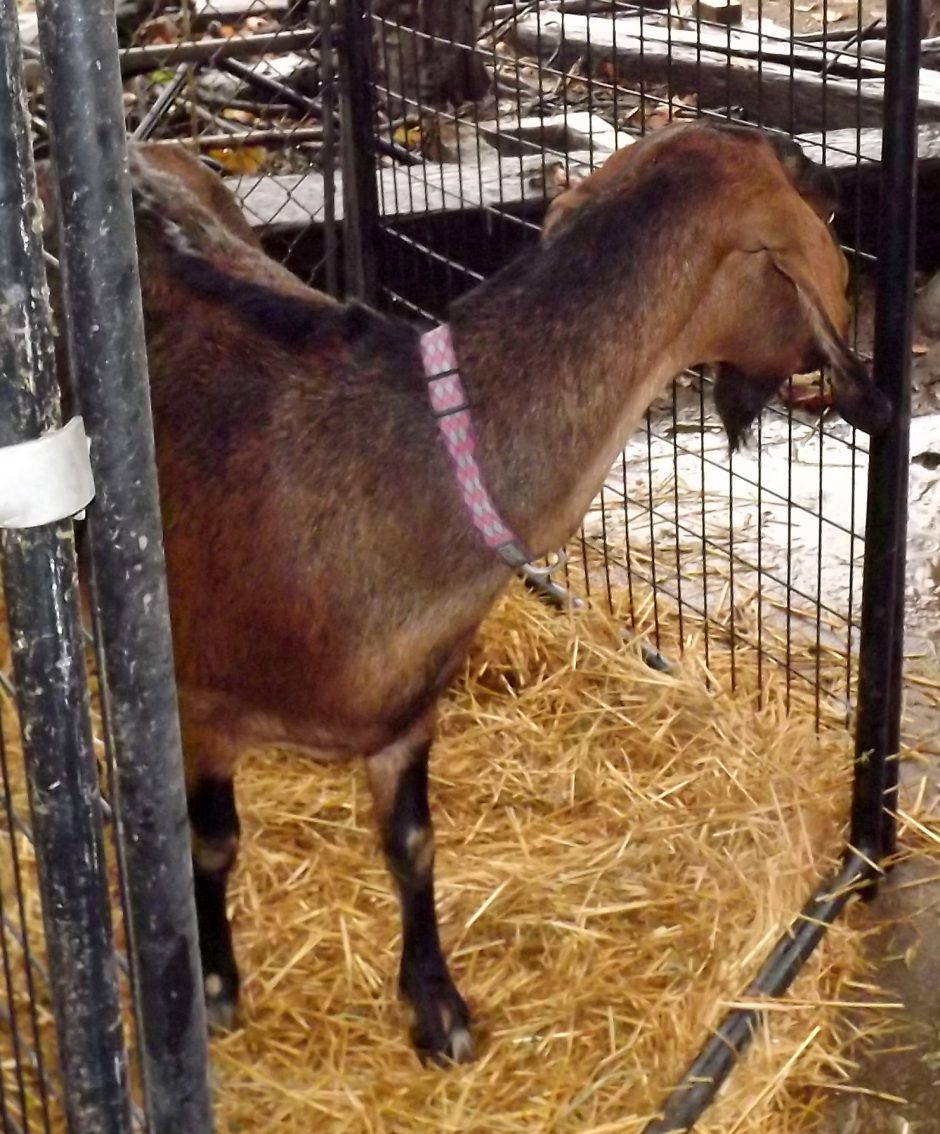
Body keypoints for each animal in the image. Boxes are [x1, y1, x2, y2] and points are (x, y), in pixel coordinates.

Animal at [38, 125, 890, 1066]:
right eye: (821, 206)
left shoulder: (407, 713)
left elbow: (413, 846)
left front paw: (438, 1008)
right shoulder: (198, 701)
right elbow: (212, 841)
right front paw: (217, 986)